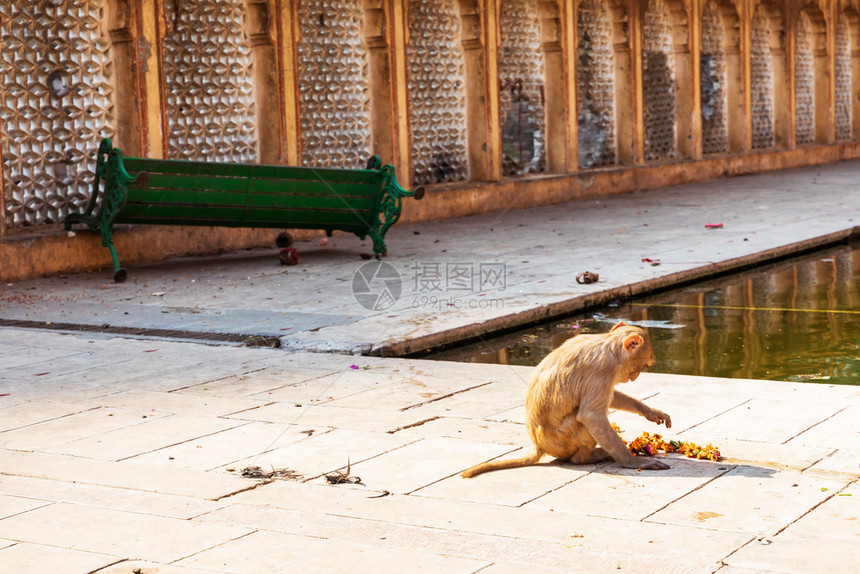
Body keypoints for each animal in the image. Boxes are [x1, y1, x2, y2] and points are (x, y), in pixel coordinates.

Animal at [464, 322, 672, 480]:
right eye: (642, 366)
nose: (635, 377)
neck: (607, 344)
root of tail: (538, 445)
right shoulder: (603, 370)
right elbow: (591, 416)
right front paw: (632, 462)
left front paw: (650, 411)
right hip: (564, 439)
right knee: (584, 423)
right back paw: (586, 457)